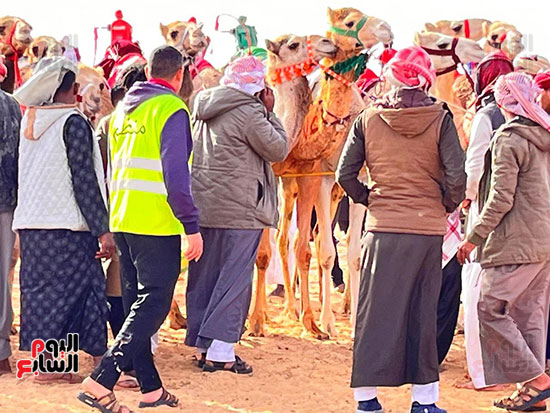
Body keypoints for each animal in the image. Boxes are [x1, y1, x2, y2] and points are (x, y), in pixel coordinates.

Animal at [247, 33, 340, 336]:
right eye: (293, 45)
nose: (329, 43)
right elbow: (262, 254)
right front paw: (255, 322)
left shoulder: (299, 176)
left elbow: (301, 249)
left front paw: (312, 324)